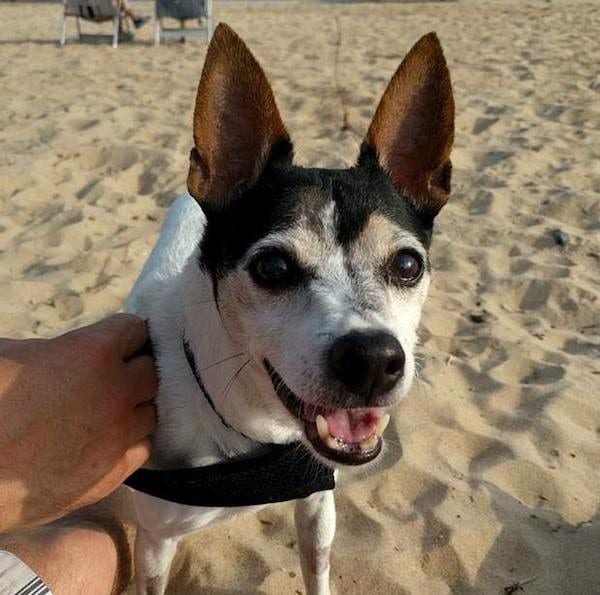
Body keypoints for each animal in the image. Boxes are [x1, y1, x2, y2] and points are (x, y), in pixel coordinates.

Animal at [126, 23, 454, 595]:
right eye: (273, 267)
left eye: (408, 264)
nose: (372, 360)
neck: (254, 438)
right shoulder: (154, 542)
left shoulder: (317, 506)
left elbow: (317, 568)